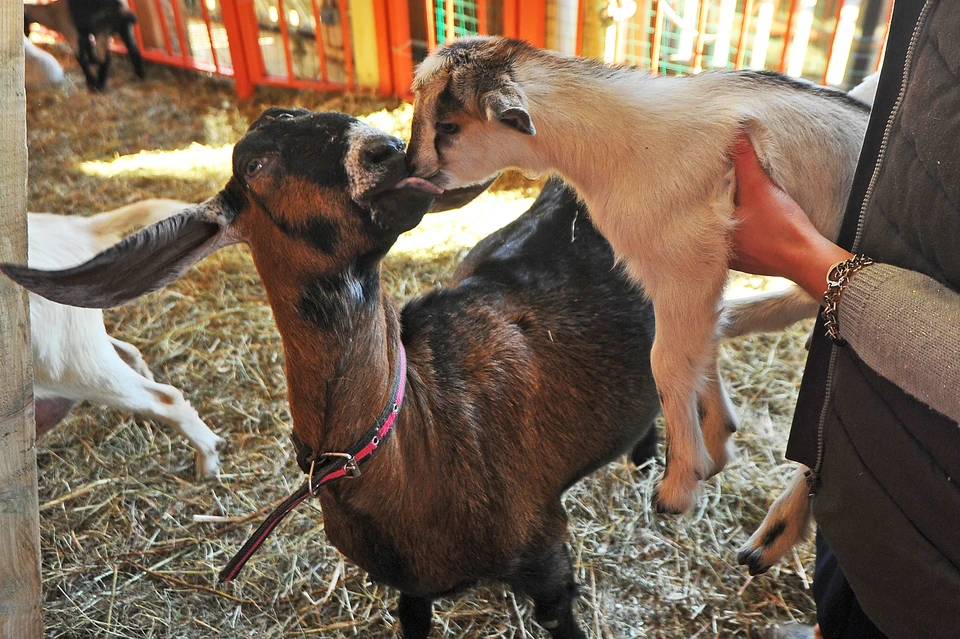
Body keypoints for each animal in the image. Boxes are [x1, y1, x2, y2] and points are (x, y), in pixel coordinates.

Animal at [404, 36, 872, 520]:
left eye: (449, 126)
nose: (411, 168)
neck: (621, 144)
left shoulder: (688, 265)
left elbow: (666, 361)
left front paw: (679, 484)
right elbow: (699, 348)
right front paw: (717, 442)